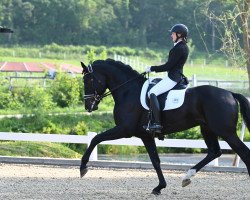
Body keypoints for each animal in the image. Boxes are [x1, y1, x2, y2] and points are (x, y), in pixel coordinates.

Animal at [80, 58, 250, 195]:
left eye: (88, 81)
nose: (88, 106)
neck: (128, 91)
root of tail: (230, 93)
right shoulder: (146, 135)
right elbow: (155, 161)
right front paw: (159, 187)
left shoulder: (124, 129)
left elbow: (96, 138)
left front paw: (83, 168)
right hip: (207, 129)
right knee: (214, 152)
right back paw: (187, 177)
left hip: (226, 132)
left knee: (243, 152)